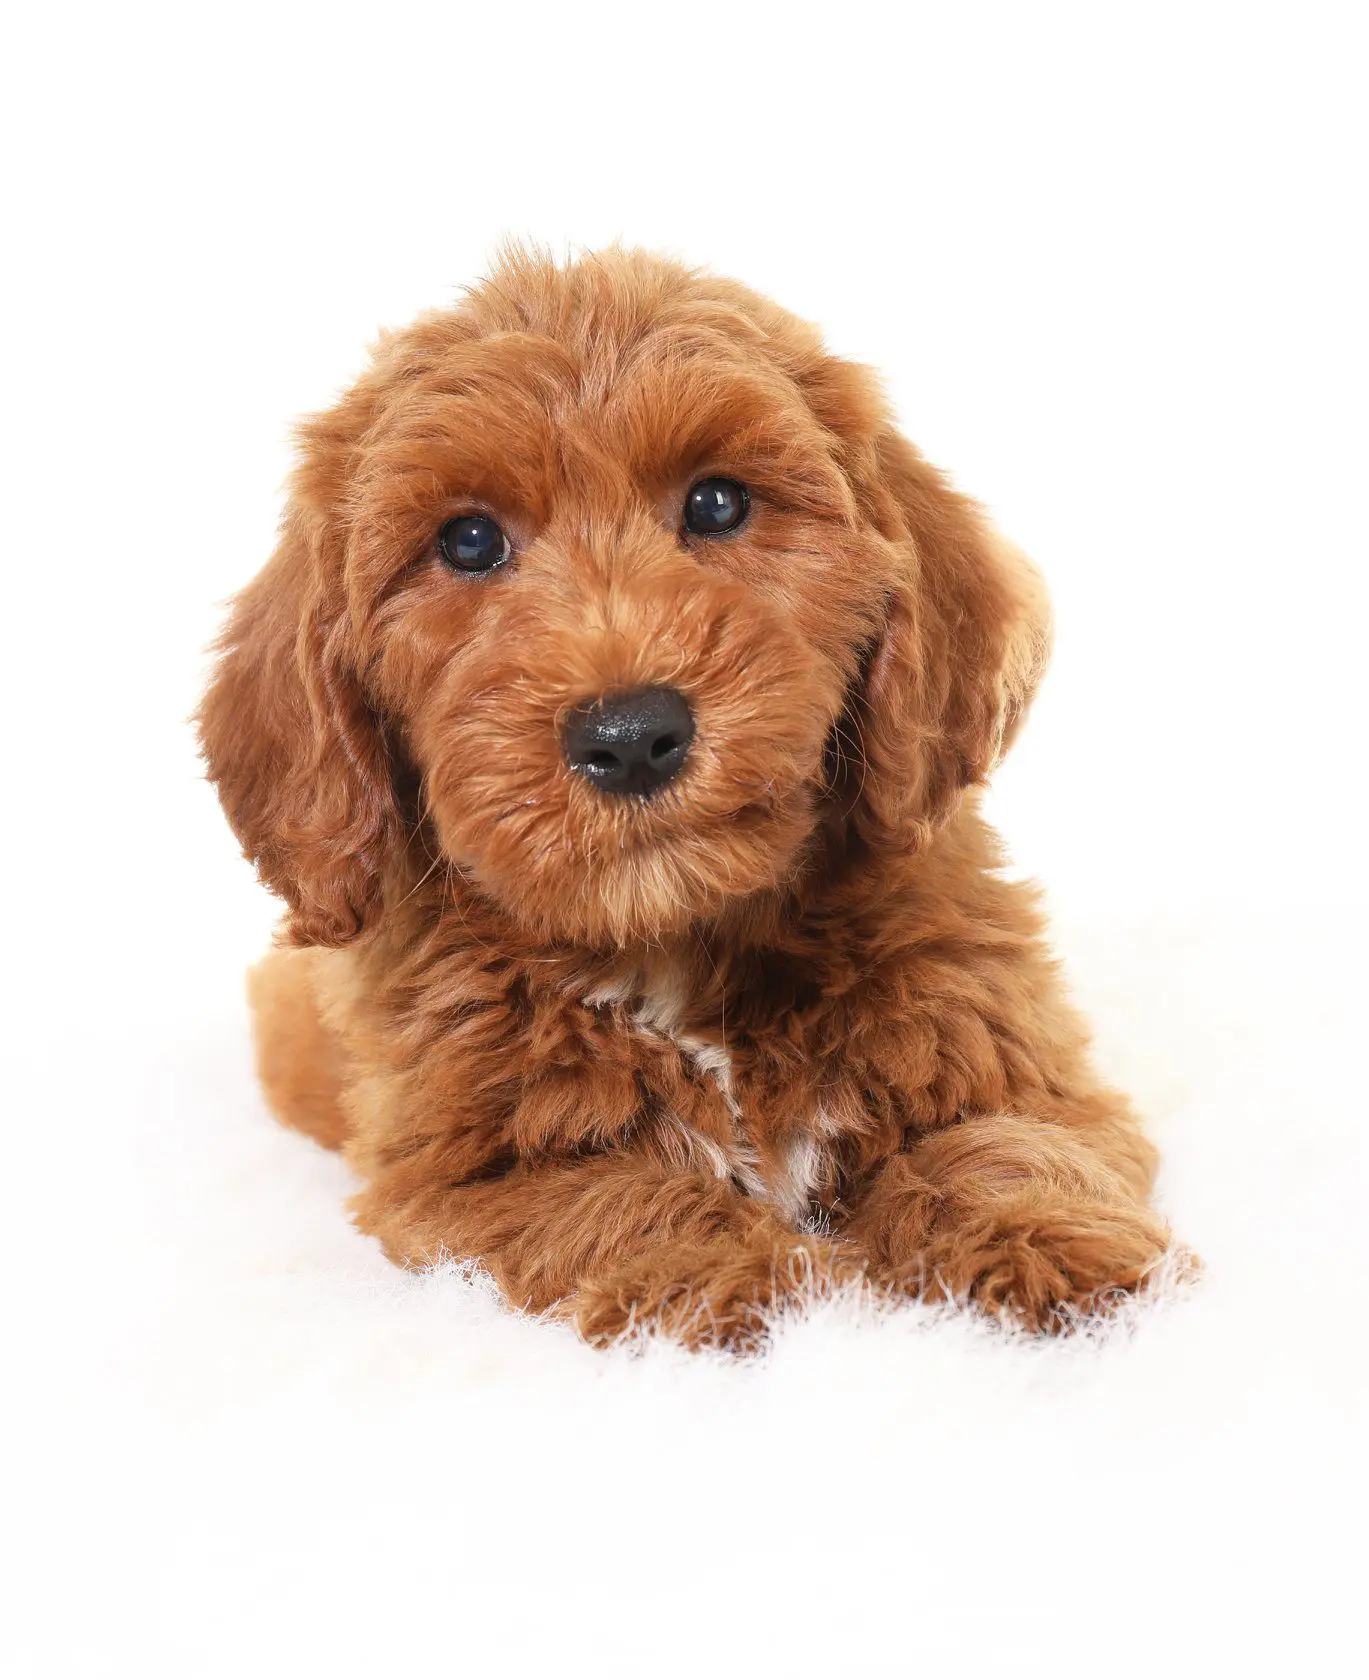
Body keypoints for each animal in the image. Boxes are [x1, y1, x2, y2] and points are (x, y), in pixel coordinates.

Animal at [200, 245, 1175, 1350]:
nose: (629, 736)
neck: (674, 944)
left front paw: (1054, 1246)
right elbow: (610, 1196)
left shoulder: (1001, 1041)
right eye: (468, 542)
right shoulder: (463, 1170)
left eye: (716, 504)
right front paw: (735, 1274)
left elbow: (1004, 1139)